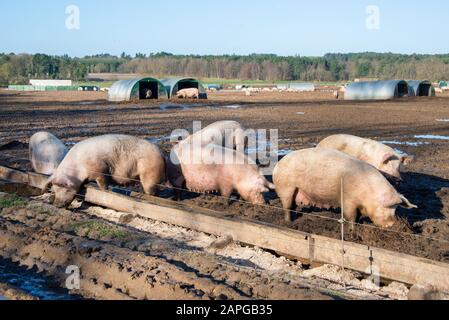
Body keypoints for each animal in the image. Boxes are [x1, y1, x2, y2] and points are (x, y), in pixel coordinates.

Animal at [272, 148, 416, 228]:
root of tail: (277, 165)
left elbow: (357, 217)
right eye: (386, 207)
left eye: (395, 209)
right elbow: (351, 217)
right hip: (286, 188)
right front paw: (352, 232)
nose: (394, 224)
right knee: (287, 206)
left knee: (293, 206)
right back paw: (288, 222)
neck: (368, 193)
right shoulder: (348, 200)